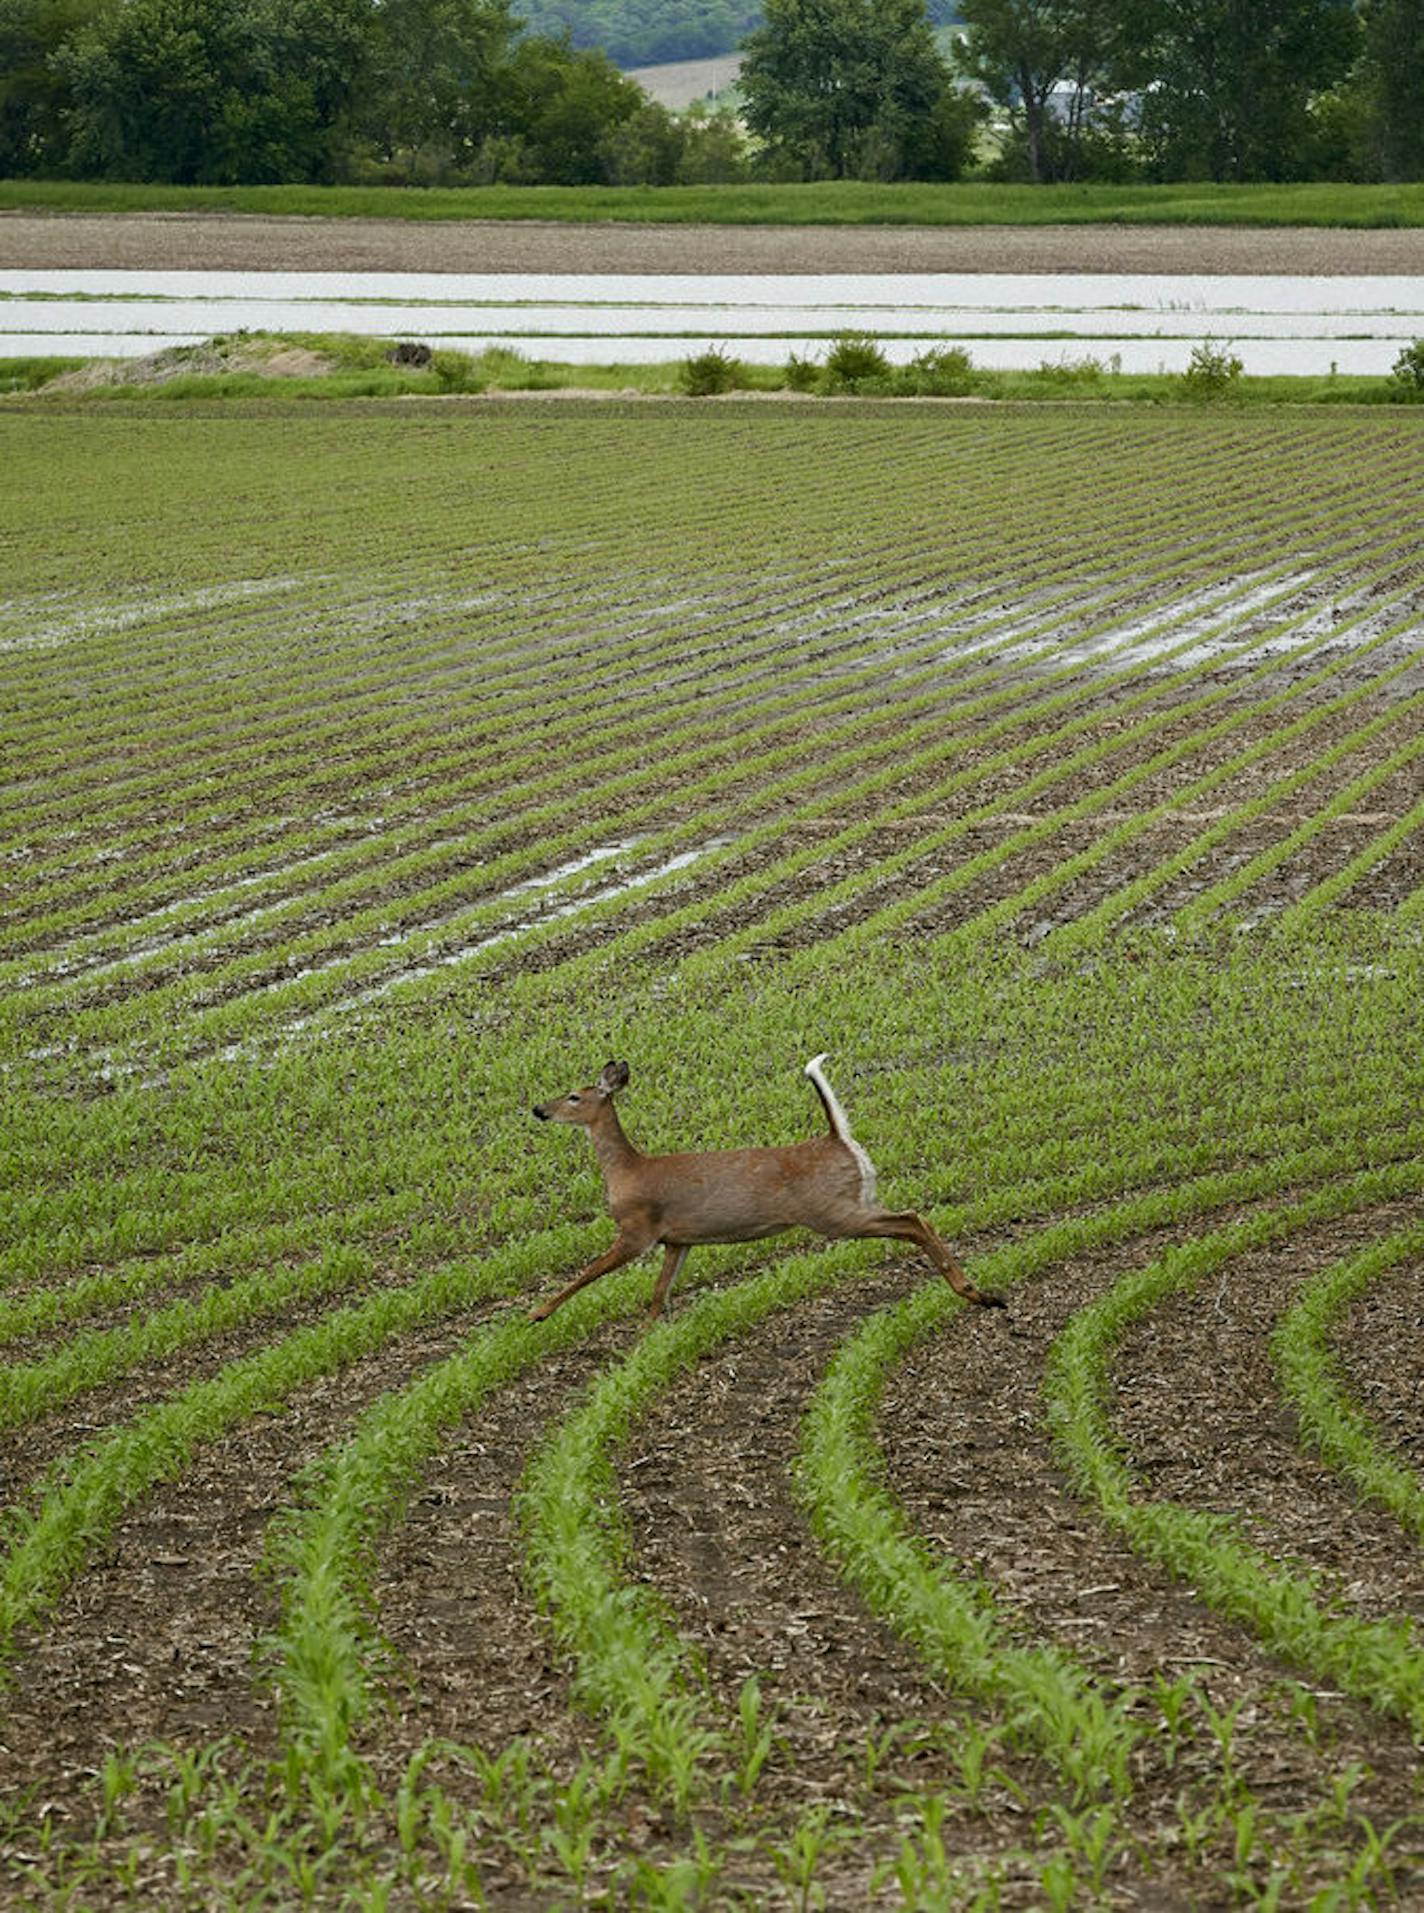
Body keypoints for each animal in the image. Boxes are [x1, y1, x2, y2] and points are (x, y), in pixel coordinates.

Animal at [524, 1055, 1002, 1323]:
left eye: (573, 1096)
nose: (538, 1110)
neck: (628, 1170)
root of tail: (838, 1138)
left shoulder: (637, 1230)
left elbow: (588, 1272)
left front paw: (537, 1313)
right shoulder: (678, 1239)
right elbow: (659, 1295)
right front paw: (642, 1349)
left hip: (833, 1212)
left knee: (913, 1220)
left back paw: (974, 1292)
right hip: (856, 1200)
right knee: (916, 1217)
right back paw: (981, 1293)